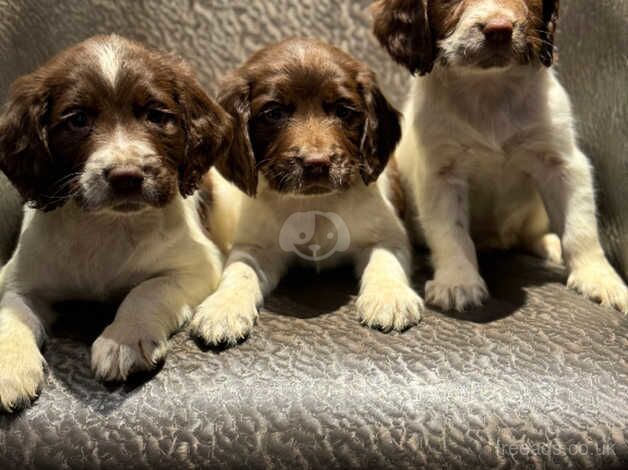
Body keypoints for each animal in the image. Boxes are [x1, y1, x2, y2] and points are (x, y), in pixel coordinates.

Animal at [0, 35, 239, 412]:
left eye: (156, 116)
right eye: (77, 120)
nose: (126, 176)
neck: (108, 225)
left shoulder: (197, 266)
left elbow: (146, 291)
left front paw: (123, 339)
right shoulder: (19, 276)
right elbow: (11, 311)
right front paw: (9, 365)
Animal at [190, 38, 426, 346]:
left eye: (344, 111)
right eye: (274, 113)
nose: (317, 163)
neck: (314, 205)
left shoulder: (387, 235)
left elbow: (385, 260)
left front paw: (390, 298)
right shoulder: (257, 246)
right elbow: (240, 270)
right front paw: (222, 308)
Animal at [372, 1, 628, 314]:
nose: (499, 29)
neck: (489, 87)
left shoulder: (563, 164)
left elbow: (580, 228)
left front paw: (599, 278)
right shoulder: (441, 174)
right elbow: (450, 233)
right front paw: (458, 281)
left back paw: (549, 245)